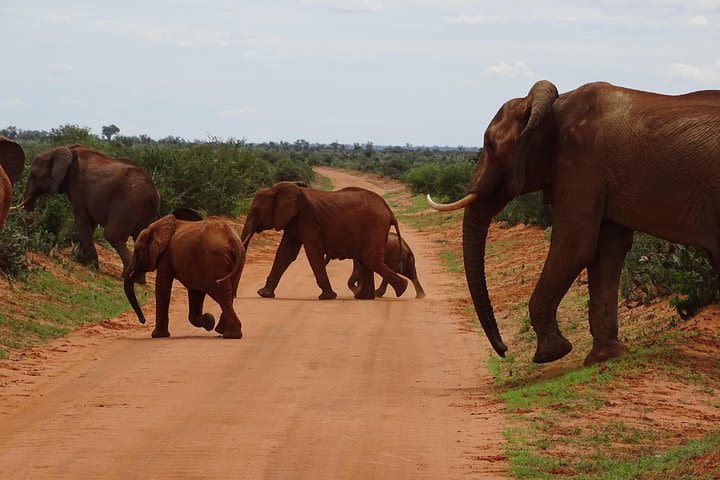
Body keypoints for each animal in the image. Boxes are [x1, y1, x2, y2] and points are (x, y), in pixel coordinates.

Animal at [18, 144, 160, 276]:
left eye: (34, 175)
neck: (63, 149)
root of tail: (153, 193)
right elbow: (90, 225)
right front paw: (81, 258)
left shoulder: (77, 187)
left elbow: (82, 219)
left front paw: (87, 263)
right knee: (141, 238)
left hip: (128, 205)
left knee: (112, 235)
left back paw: (130, 276)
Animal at [124, 212, 248, 340]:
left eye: (137, 251)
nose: (143, 321)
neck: (156, 227)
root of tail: (232, 240)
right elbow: (196, 291)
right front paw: (209, 321)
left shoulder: (166, 256)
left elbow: (162, 288)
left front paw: (157, 336)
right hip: (237, 260)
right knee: (231, 291)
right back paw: (222, 331)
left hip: (215, 260)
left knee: (222, 294)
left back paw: (231, 335)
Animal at [242, 181, 408, 300]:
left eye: (255, 211)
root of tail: (389, 211)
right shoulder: (294, 221)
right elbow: (285, 253)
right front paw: (263, 294)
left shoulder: (307, 219)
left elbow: (313, 252)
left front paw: (327, 297)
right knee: (366, 261)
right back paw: (365, 297)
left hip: (375, 227)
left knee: (370, 260)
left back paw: (401, 289)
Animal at [430, 80, 720, 366]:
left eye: (490, 146)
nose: (504, 350)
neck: (550, 108)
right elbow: (607, 251)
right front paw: (606, 356)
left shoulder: (582, 163)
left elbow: (574, 246)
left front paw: (551, 354)